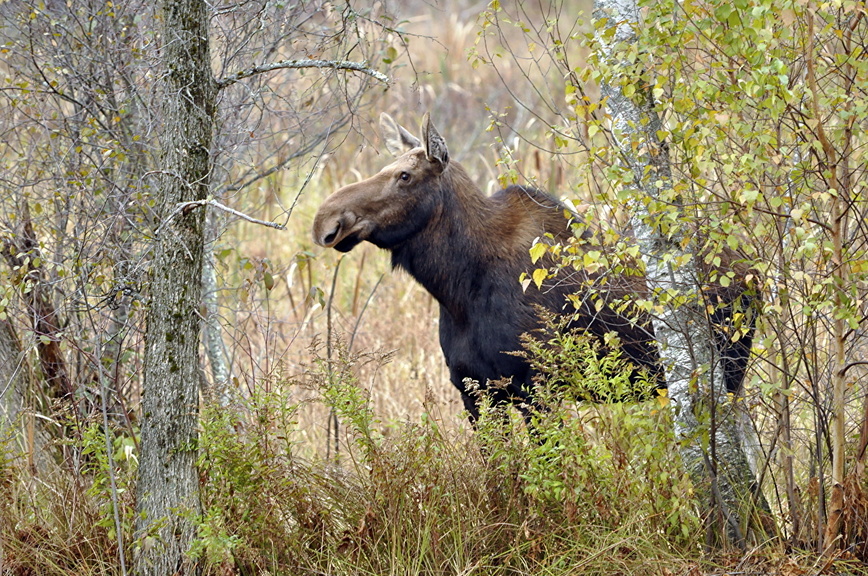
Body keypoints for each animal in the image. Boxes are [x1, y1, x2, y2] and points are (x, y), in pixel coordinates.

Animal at [312, 112, 752, 420]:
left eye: (404, 175)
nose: (326, 220)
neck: (455, 289)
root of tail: (753, 268)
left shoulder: (535, 388)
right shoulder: (474, 392)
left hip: (728, 370)